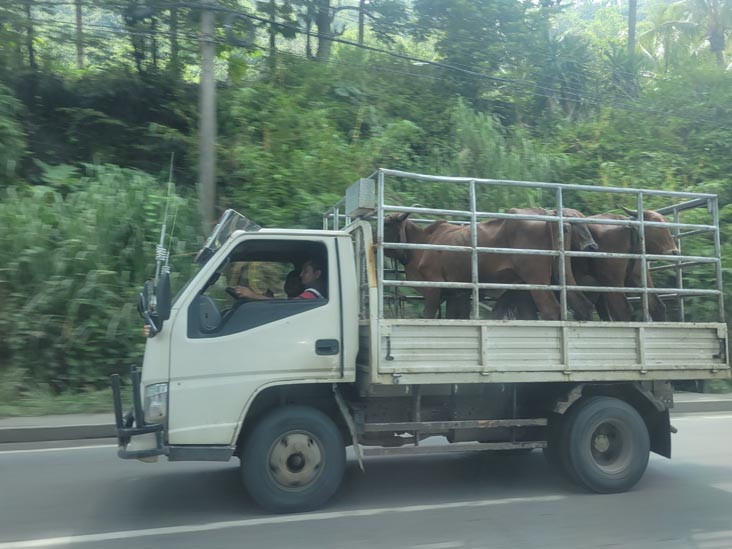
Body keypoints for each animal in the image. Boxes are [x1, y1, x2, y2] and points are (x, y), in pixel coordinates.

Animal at [384, 212, 568, 318]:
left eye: (386, 225)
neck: (424, 241)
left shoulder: (433, 288)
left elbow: (427, 315)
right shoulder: (456, 293)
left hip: (537, 280)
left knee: (550, 309)